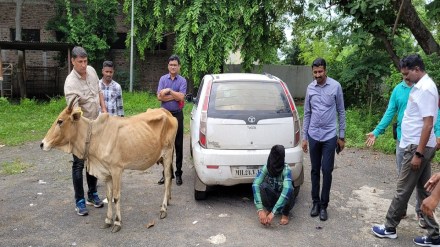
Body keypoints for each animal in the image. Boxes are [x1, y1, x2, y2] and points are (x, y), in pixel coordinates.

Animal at [40, 97, 177, 233]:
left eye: (60, 121)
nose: (42, 144)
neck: (95, 136)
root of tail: (167, 113)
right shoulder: (106, 172)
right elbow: (109, 196)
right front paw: (108, 220)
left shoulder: (116, 170)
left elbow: (116, 196)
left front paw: (117, 222)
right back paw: (168, 200)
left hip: (168, 153)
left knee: (168, 178)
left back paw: (163, 208)